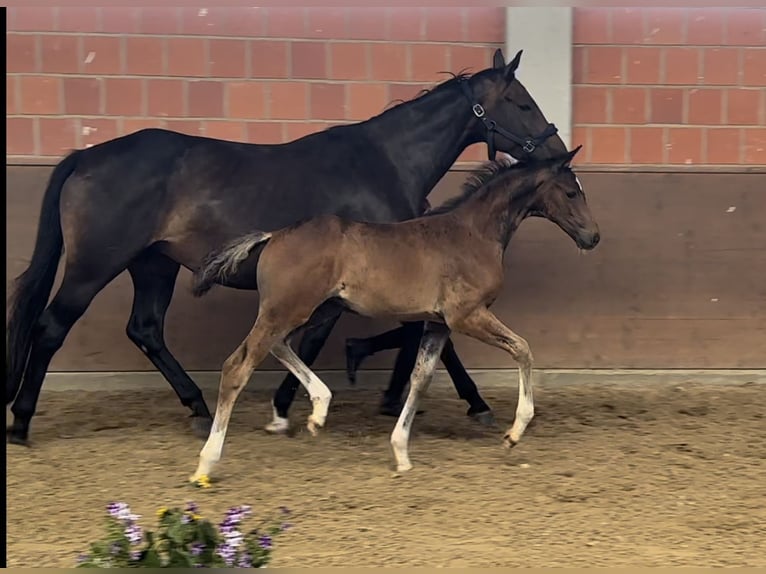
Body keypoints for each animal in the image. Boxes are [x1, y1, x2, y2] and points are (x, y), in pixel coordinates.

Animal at [188, 147, 600, 482]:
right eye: (570, 192)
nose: (593, 236)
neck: (474, 234)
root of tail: (273, 235)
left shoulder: (437, 324)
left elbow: (420, 378)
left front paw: (401, 453)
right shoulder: (466, 315)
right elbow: (523, 348)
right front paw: (515, 432)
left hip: (313, 310)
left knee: (279, 347)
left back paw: (319, 408)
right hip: (286, 309)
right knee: (238, 366)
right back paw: (207, 462)